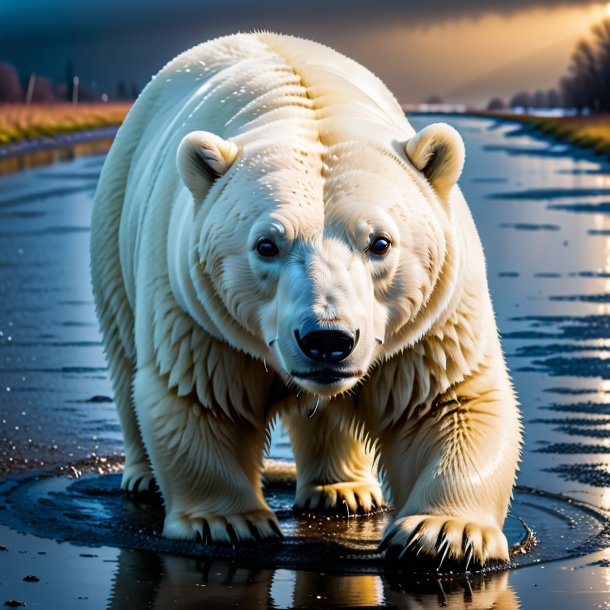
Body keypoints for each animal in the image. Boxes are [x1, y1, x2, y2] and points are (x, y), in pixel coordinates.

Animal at [90, 32, 516, 564]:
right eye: (266, 245)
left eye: (380, 242)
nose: (327, 340)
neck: (308, 108)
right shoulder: (197, 311)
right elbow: (200, 396)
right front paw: (227, 523)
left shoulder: (431, 319)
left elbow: (448, 400)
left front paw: (443, 533)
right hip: (117, 220)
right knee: (125, 354)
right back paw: (143, 477)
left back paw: (345, 491)